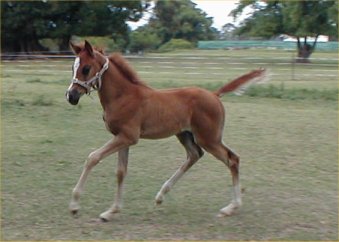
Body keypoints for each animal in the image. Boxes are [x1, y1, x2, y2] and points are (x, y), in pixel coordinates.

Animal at [66, 40, 266, 221]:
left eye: (85, 68)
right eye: (72, 68)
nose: (71, 96)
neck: (123, 96)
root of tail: (214, 94)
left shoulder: (128, 137)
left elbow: (93, 157)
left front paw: (75, 206)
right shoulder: (123, 138)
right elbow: (121, 172)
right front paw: (111, 211)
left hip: (209, 139)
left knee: (232, 159)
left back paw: (231, 208)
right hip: (185, 134)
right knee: (195, 155)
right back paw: (161, 195)